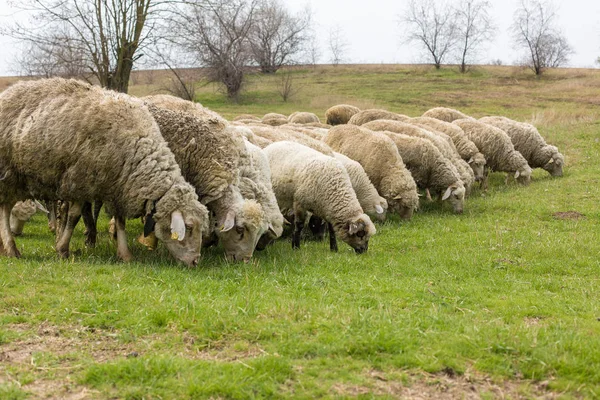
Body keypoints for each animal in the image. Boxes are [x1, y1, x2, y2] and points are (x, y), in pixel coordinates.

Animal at [0, 78, 209, 266]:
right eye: (189, 227)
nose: (195, 261)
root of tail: (7, 92)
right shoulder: (80, 181)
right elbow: (74, 217)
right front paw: (63, 249)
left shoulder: (118, 187)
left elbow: (120, 221)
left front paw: (124, 254)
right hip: (8, 175)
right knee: (5, 209)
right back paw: (11, 248)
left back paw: (4, 247)